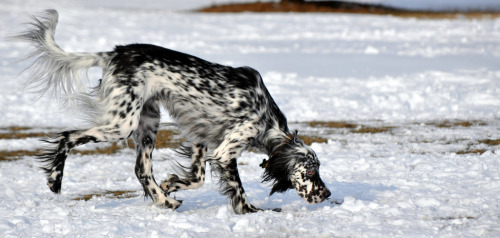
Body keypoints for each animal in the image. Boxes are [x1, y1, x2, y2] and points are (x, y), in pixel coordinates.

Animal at [13, 9, 330, 214]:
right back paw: (54, 180)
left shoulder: (202, 140)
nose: (326, 193)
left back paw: (164, 201)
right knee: (67, 136)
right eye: (310, 171)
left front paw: (171, 184)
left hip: (148, 121)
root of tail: (114, 53)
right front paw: (251, 211)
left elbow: (197, 177)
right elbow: (237, 190)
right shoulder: (226, 150)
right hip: (123, 123)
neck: (268, 121)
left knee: (141, 169)